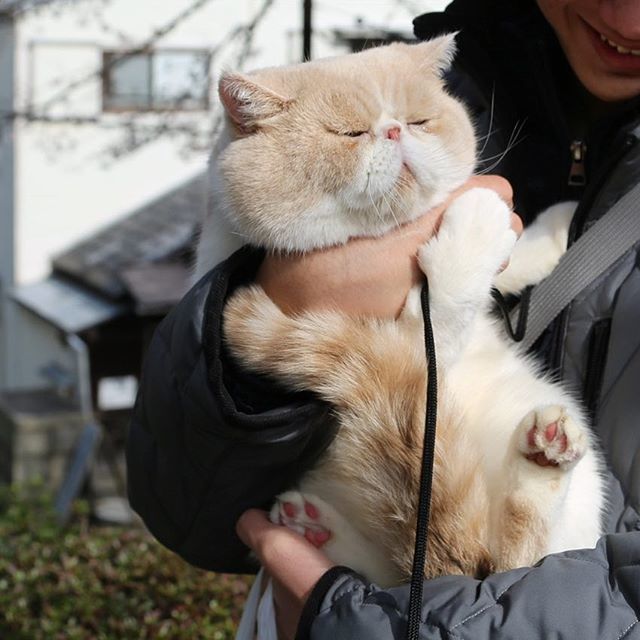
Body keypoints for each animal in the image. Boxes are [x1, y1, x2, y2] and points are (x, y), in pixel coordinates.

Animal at [201, 33, 604, 584]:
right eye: (348, 133)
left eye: (418, 121)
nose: (392, 130)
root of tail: (447, 566)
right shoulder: (412, 354)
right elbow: (447, 295)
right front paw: (477, 225)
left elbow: (516, 257)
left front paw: (555, 225)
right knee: (506, 558)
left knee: (514, 558)